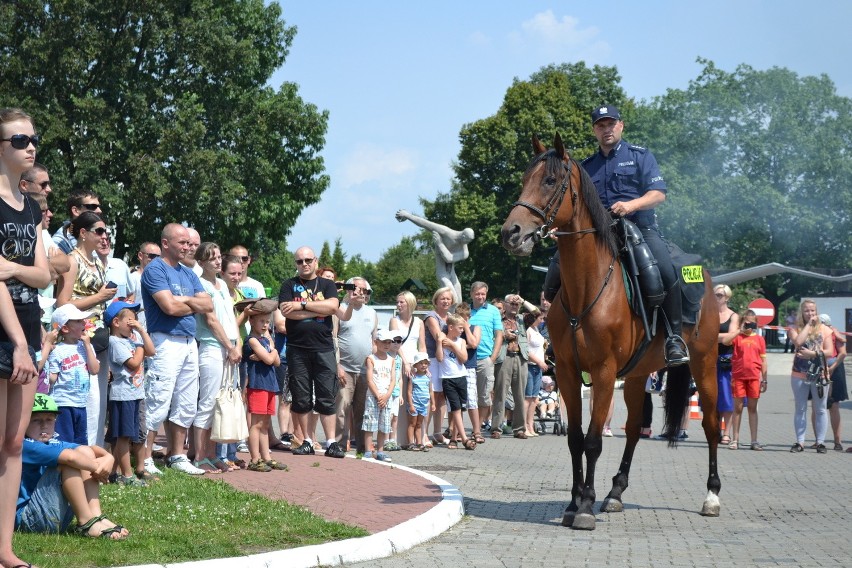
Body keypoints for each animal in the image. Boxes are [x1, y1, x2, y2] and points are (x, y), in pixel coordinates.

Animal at [502, 135, 724, 532]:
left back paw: (711, 496)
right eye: (526, 178)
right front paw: (574, 503)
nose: (511, 232)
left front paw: (585, 507)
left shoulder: (603, 373)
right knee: (634, 429)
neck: (588, 287)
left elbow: (593, 441)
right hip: (636, 376)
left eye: (550, 181)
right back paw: (616, 492)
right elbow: (575, 439)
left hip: (704, 363)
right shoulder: (568, 373)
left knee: (713, 426)